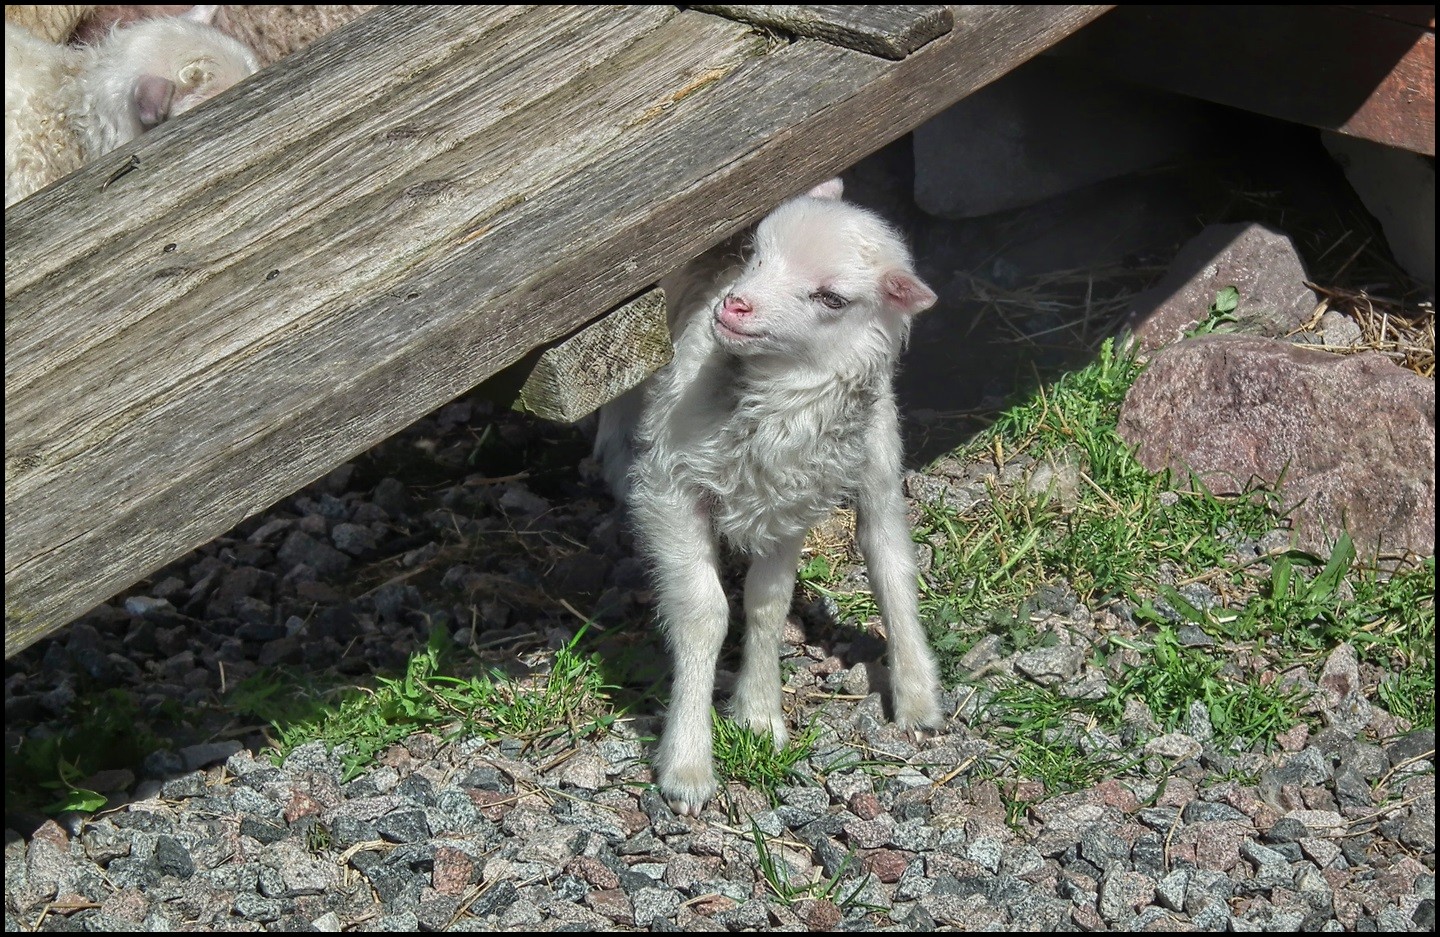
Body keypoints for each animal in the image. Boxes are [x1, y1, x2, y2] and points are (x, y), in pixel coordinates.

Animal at [601, 179, 950, 817]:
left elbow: (769, 602)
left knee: (887, 557)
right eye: (757, 254)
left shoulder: (788, 502)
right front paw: (688, 765)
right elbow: (704, 613)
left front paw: (759, 715)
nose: (735, 305)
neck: (776, 400)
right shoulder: (672, 488)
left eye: (832, 298)